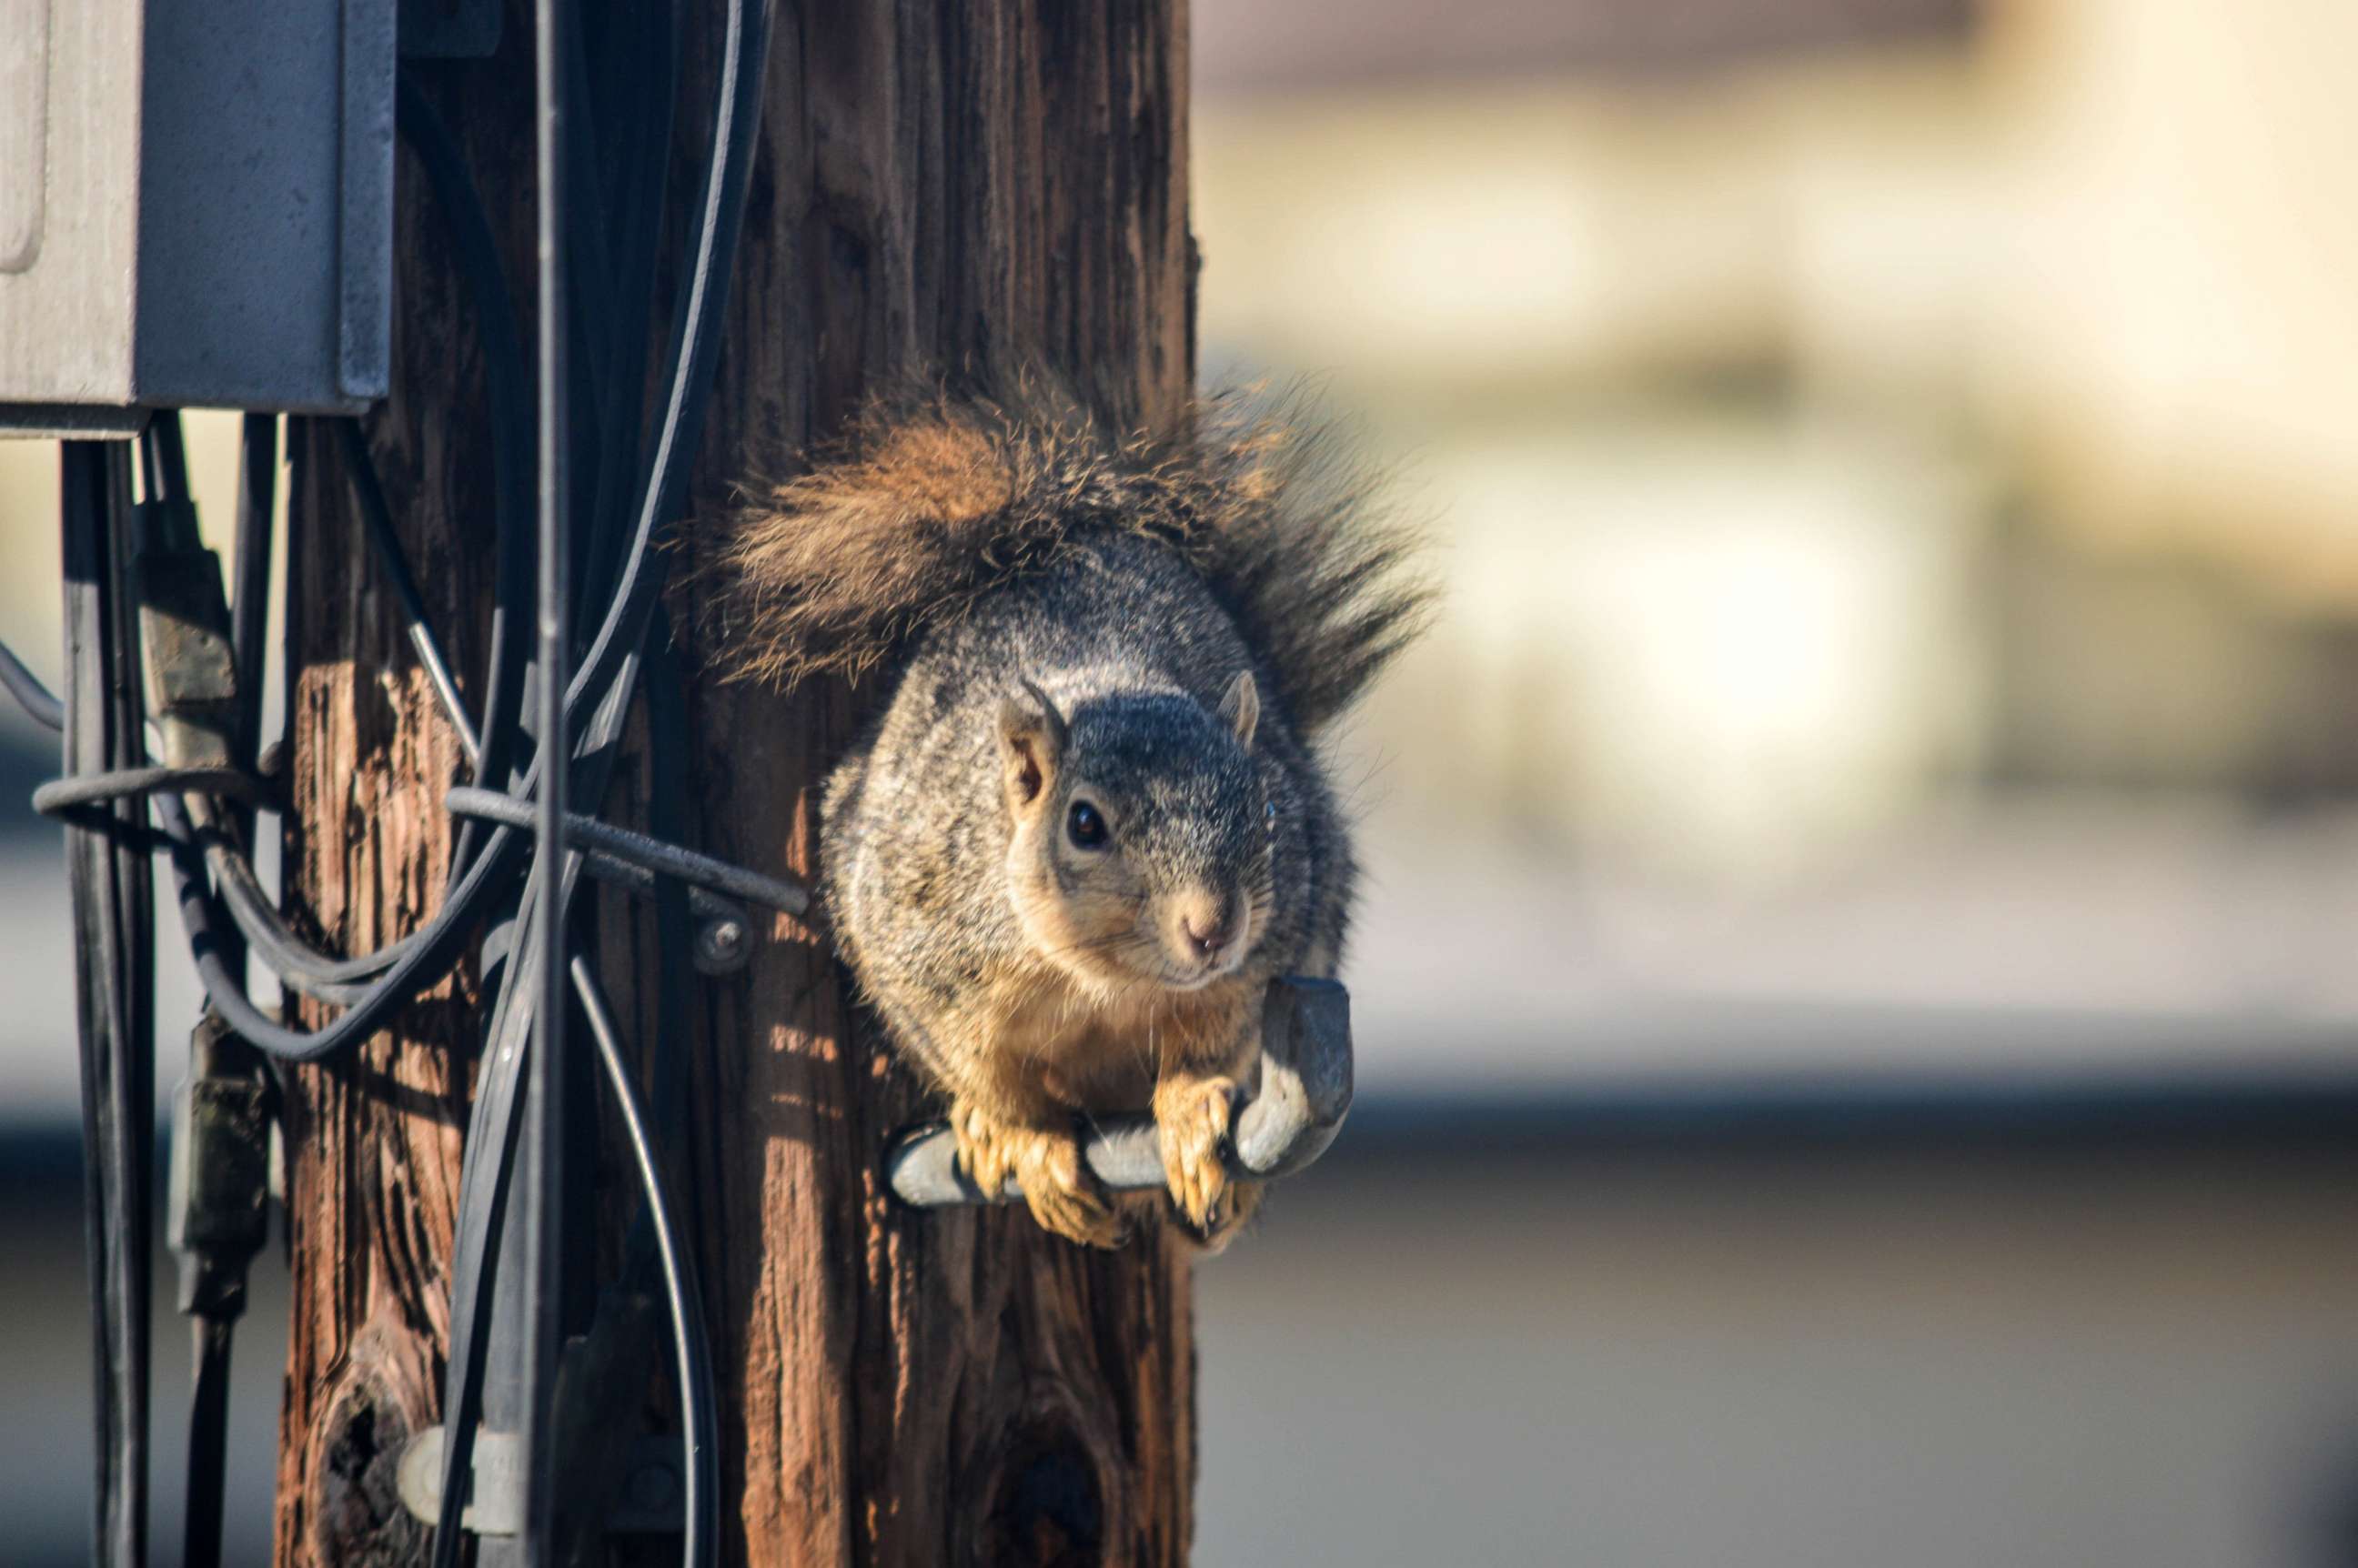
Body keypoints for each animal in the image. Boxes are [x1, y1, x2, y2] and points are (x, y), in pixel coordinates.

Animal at [698, 391, 1424, 1244]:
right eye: (1083, 824)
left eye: (1268, 808)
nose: (1213, 929)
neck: (1104, 982)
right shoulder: (924, 963)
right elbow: (989, 1074)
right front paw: (1030, 1144)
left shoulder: (1264, 956)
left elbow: (1213, 1040)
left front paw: (1190, 1111)